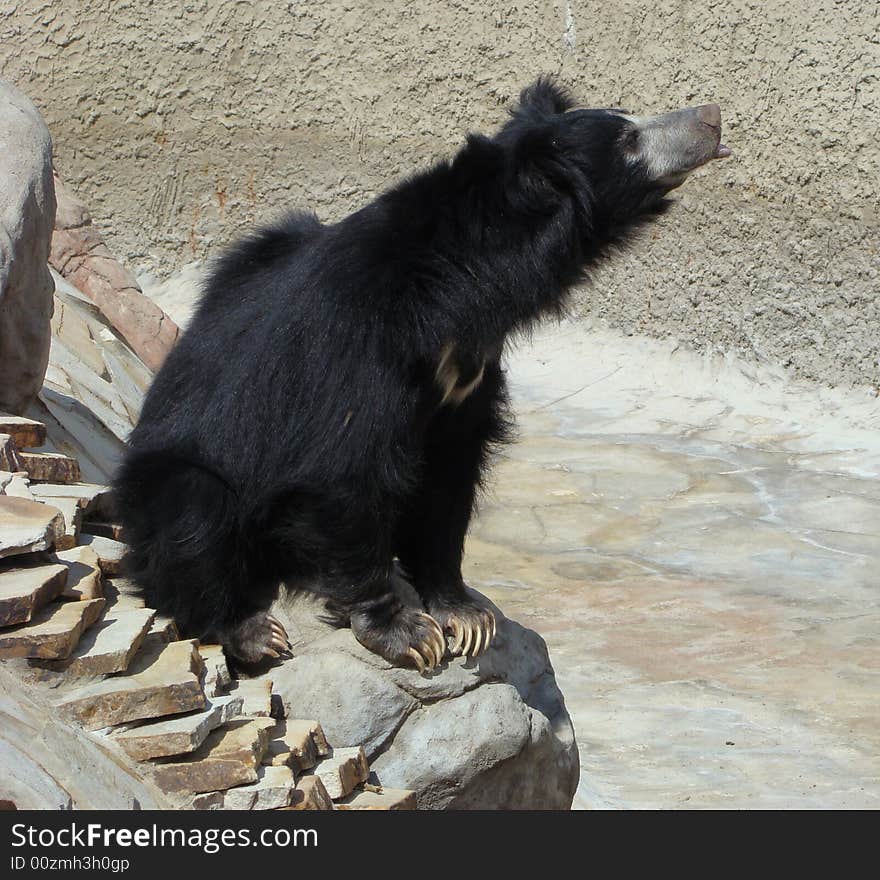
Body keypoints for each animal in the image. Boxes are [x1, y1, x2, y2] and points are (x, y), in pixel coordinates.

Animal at [115, 77, 728, 668]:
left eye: (629, 119)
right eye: (627, 138)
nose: (712, 115)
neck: (467, 284)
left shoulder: (468, 372)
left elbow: (449, 474)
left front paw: (466, 614)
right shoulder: (360, 345)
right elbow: (343, 465)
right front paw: (405, 633)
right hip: (173, 490)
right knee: (196, 516)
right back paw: (252, 630)